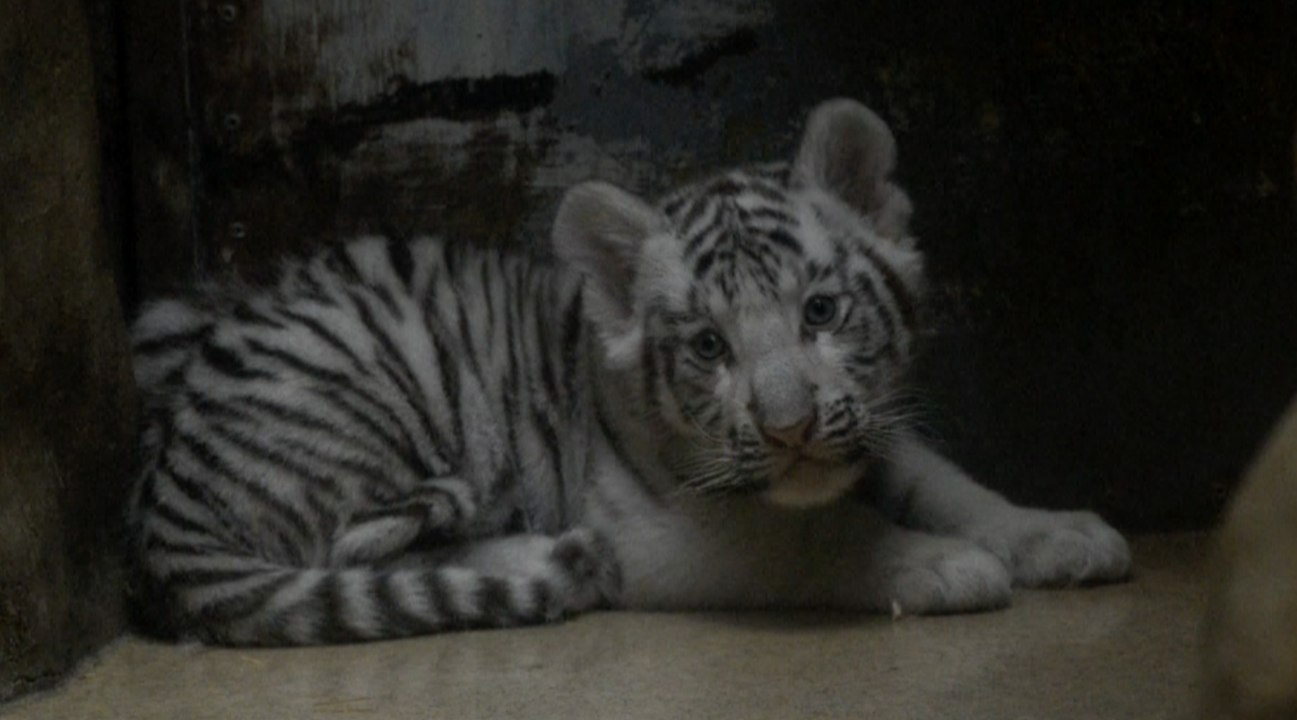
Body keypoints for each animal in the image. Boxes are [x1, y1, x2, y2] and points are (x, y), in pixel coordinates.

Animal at [127, 98, 1131, 646]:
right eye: (708, 347)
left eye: (818, 311)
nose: (788, 430)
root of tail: (169, 498)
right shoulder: (671, 535)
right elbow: (820, 537)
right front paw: (939, 564)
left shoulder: (872, 431)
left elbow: (950, 485)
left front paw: (1057, 532)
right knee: (350, 551)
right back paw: (550, 557)